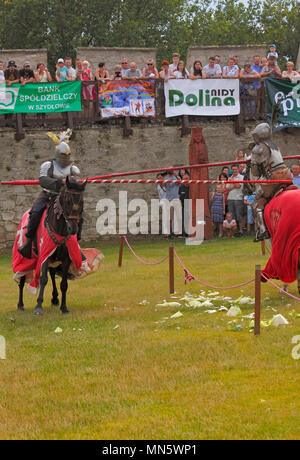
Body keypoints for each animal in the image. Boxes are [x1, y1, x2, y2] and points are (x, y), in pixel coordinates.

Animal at [17, 174, 86, 314]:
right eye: (67, 201)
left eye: (81, 202)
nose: (73, 229)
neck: (60, 229)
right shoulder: (45, 255)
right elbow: (43, 279)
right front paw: (38, 306)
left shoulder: (65, 259)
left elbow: (63, 284)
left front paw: (64, 307)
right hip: (25, 259)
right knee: (22, 280)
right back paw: (20, 304)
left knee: (53, 274)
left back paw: (55, 298)